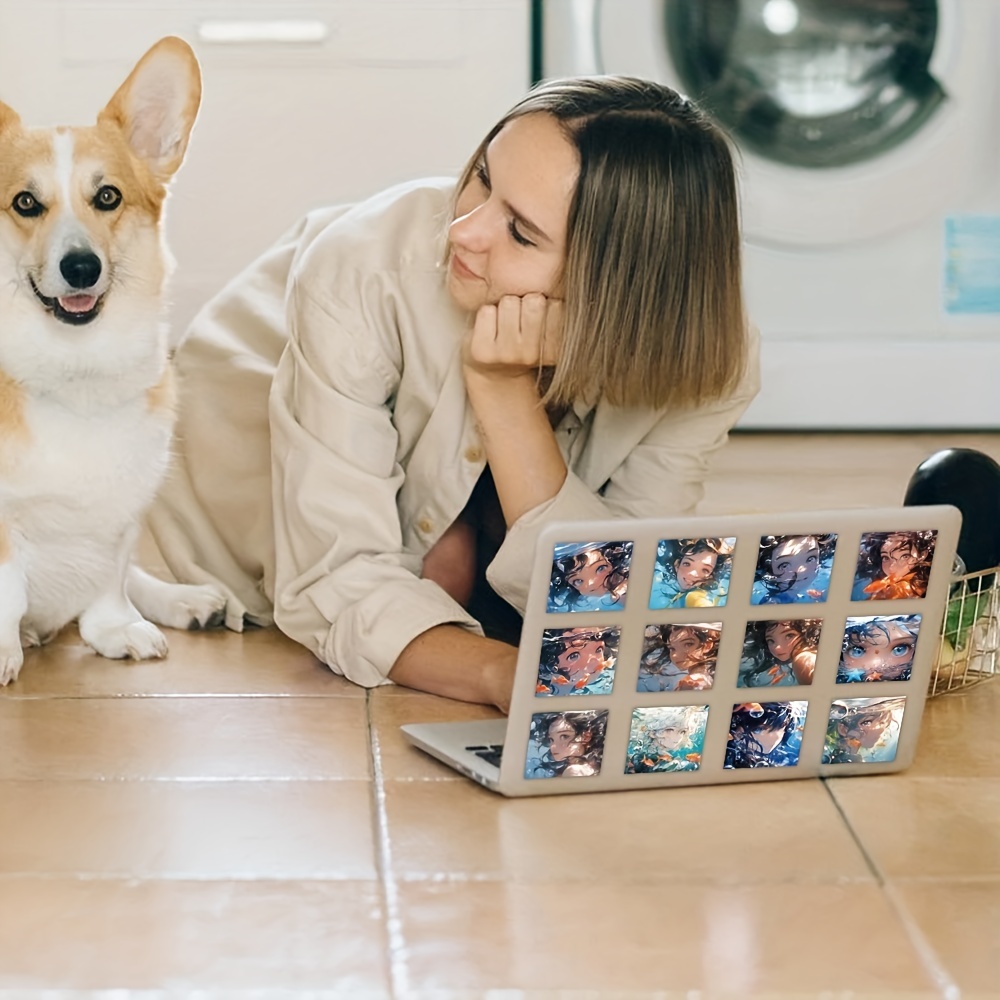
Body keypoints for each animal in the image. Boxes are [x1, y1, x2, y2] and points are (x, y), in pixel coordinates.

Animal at [0, 35, 226, 684]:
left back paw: (183, 600)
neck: (77, 373)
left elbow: (112, 576)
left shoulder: (125, 506)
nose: (81, 267)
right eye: (25, 203)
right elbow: (8, 593)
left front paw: (116, 629)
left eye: (107, 197)